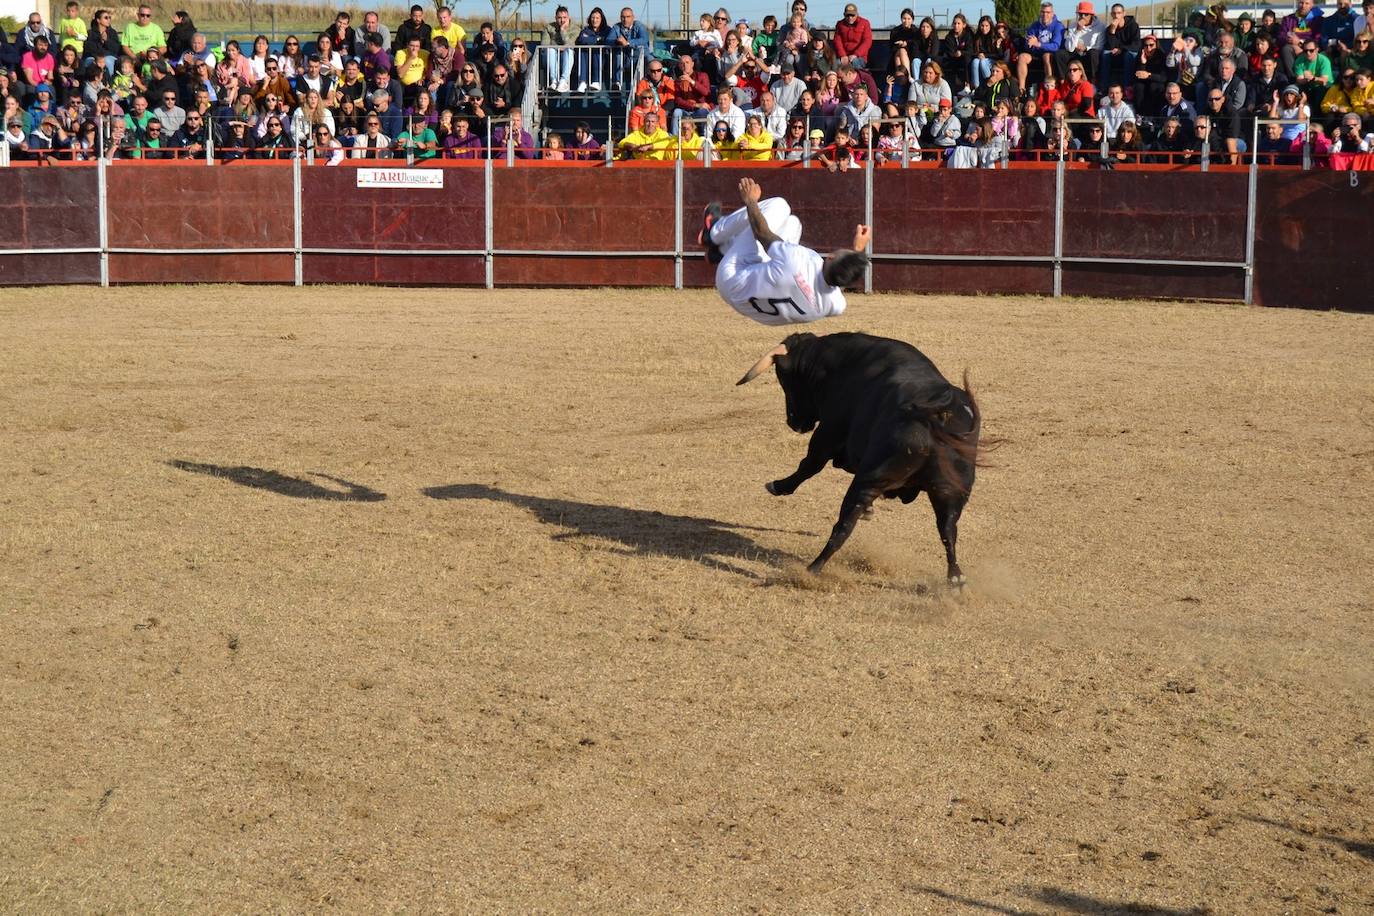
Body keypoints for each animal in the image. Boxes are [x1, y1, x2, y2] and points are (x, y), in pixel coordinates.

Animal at [741, 333, 989, 585]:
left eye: (785, 381)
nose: (795, 423)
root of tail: (936, 417)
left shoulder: (828, 432)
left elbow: (809, 465)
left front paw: (778, 485)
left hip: (868, 479)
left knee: (844, 526)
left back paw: (813, 568)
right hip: (951, 491)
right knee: (948, 529)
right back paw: (955, 579)